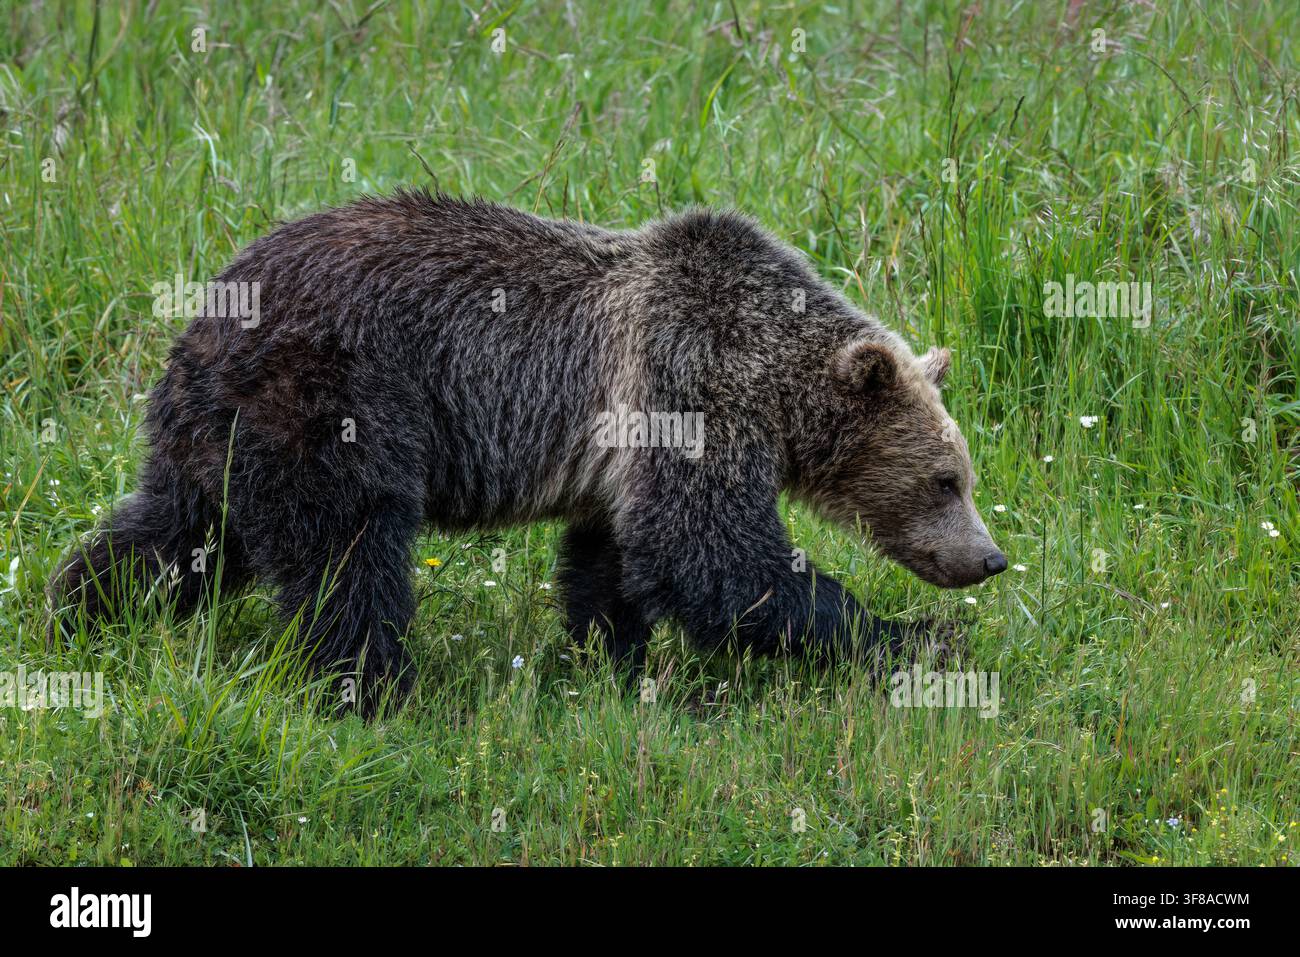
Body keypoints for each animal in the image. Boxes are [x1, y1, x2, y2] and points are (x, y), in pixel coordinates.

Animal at [48, 190, 1006, 715]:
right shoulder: (686, 378)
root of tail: (207, 312)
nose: (990, 557)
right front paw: (915, 638)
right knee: (347, 557)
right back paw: (374, 688)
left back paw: (81, 612)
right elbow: (715, 553)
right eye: (945, 479)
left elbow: (613, 558)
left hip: (216, 430)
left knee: (178, 530)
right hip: (335, 399)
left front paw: (609, 660)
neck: (773, 376)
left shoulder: (627, 442)